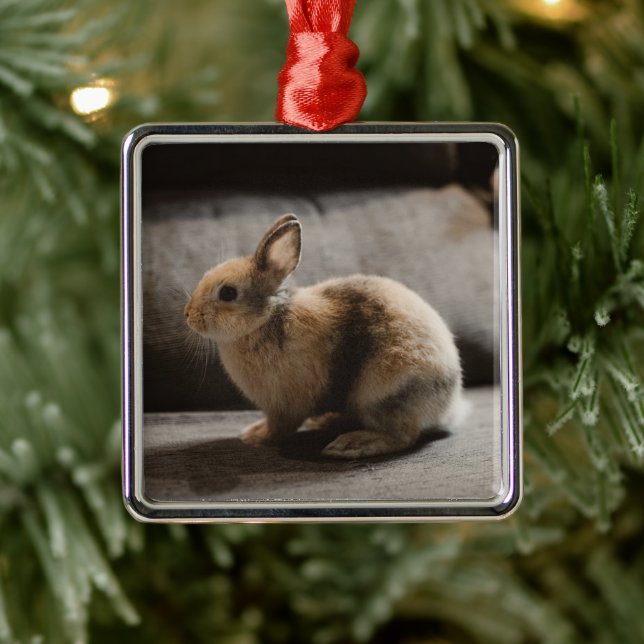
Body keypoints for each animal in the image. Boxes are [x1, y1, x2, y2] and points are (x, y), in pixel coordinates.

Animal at [184, 213, 464, 459]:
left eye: (228, 293)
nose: (188, 314)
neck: (267, 318)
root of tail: (450, 404)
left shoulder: (285, 406)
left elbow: (279, 427)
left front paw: (255, 437)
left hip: (385, 394)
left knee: (403, 436)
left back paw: (351, 445)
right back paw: (327, 421)